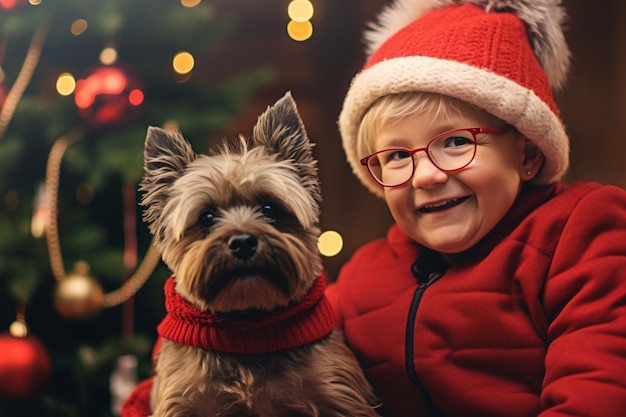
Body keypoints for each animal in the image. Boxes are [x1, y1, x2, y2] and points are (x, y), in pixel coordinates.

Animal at [140, 92, 378, 416]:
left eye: (269, 208)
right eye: (207, 218)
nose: (242, 242)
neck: (249, 324)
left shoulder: (337, 393)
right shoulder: (182, 400)